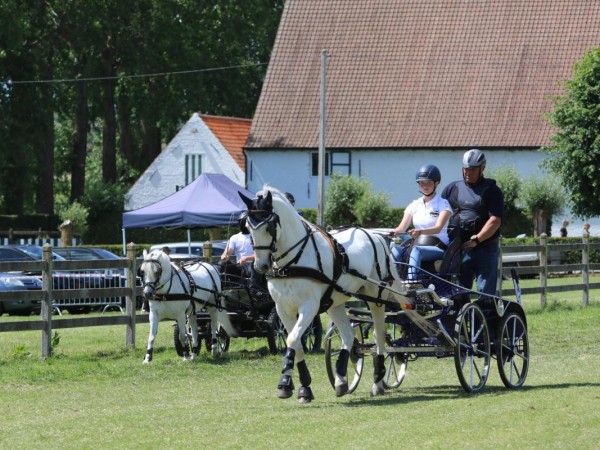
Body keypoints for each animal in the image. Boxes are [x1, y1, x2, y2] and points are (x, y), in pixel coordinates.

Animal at [239, 188, 432, 402]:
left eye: (269, 227)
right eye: (248, 227)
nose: (261, 266)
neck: (293, 260)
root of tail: (376, 236)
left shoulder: (309, 306)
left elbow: (292, 340)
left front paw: (285, 382)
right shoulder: (283, 309)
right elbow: (296, 343)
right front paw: (302, 387)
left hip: (375, 298)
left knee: (379, 334)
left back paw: (377, 381)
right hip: (335, 302)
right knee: (348, 335)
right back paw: (341, 378)